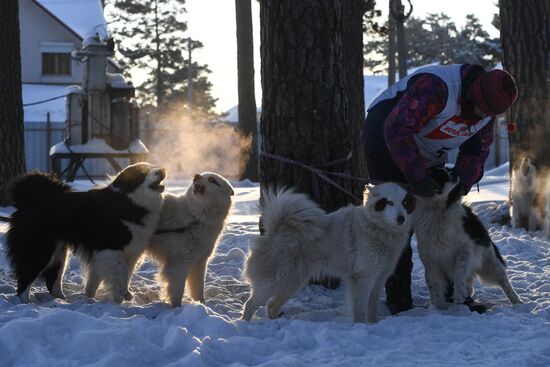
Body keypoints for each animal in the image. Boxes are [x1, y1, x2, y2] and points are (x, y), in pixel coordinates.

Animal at [5, 162, 166, 304]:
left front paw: (100, 298)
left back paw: (63, 302)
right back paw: (26, 304)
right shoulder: (110, 248)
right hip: (40, 250)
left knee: (53, 282)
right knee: (25, 281)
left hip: (60, 253)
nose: (163, 169)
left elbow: (119, 276)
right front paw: (124, 295)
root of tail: (29, 200)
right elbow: (123, 271)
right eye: (144, 172)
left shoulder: (129, 251)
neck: (130, 202)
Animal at [148, 172, 234, 308]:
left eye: (212, 180)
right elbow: (178, 289)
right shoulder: (180, 262)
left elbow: (198, 287)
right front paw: (177, 307)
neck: (196, 218)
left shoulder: (200, 261)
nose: (196, 175)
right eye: (202, 175)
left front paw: (202, 304)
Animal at [244, 185, 416, 324]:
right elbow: (360, 308)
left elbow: (372, 308)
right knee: (250, 304)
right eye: (389, 203)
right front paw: (361, 326)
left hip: (293, 282)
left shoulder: (379, 279)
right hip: (274, 281)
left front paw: (374, 324)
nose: (401, 218)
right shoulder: (363, 278)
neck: (376, 227)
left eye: (404, 203)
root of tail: (276, 228)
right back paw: (245, 325)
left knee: (271, 306)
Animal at [416, 168, 524, 312]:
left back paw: (517, 303)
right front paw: (438, 309)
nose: (455, 172)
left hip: (491, 264)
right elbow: (433, 285)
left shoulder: (465, 248)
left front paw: (458, 295)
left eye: (448, 170)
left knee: (504, 282)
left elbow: (458, 272)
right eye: (440, 174)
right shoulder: (430, 258)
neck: (437, 210)